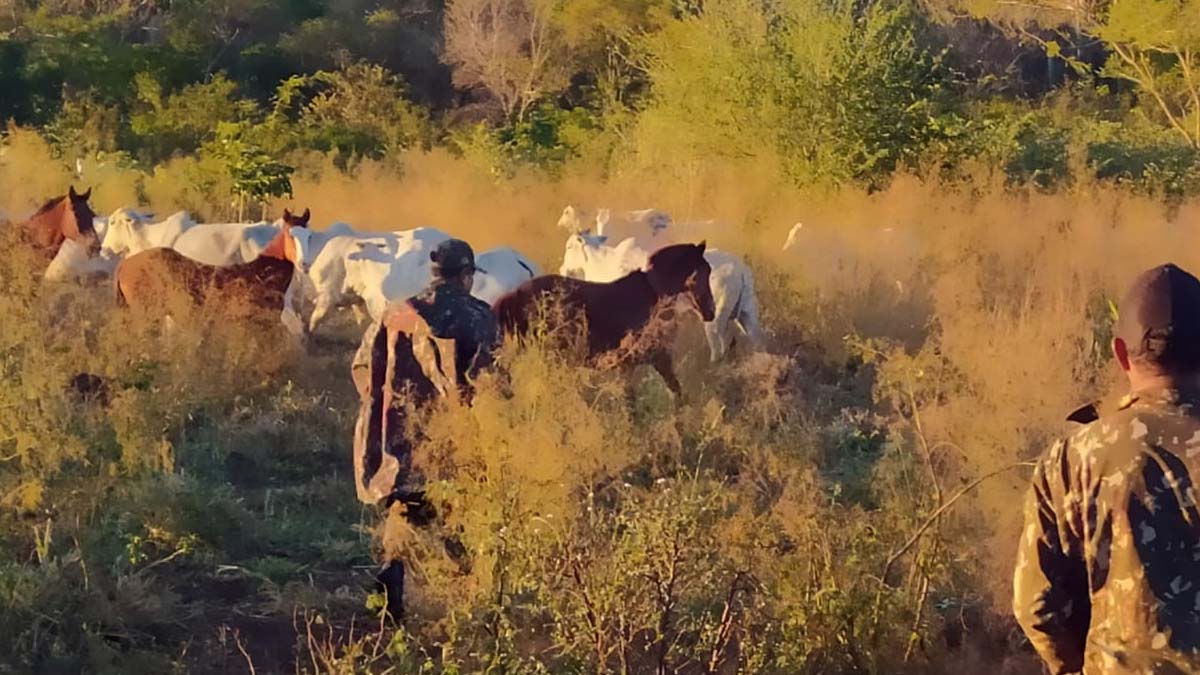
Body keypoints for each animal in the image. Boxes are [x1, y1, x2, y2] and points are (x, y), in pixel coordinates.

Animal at [559, 230, 763, 360]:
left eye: (569, 247)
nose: (562, 269)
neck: (602, 262)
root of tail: (741, 269)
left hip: (714, 322)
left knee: (718, 353)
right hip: (747, 315)